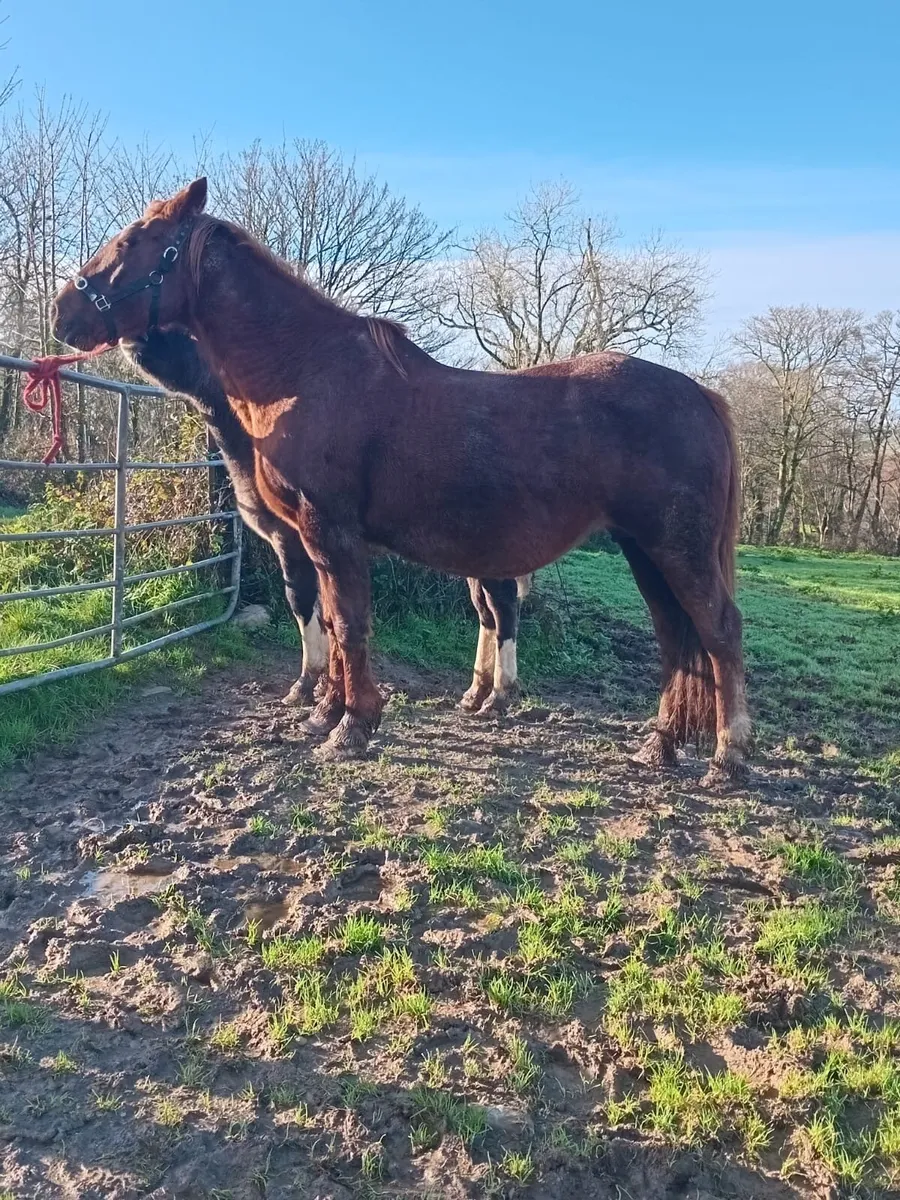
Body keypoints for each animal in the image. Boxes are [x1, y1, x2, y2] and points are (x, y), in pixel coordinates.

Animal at [123, 328, 531, 715]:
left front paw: (304, 685)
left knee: (503, 608)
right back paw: (474, 693)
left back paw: (498, 695)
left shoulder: (291, 541)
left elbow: (301, 601)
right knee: (486, 612)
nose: (134, 337)